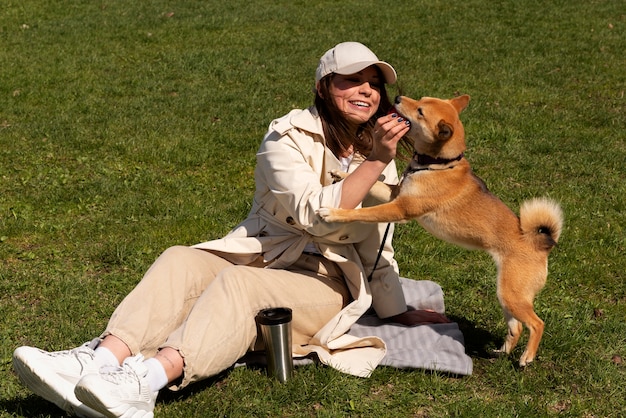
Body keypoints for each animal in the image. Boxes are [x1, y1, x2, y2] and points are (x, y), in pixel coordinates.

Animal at [320, 94, 564, 366]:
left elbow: (363, 213)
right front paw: (340, 174)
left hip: (513, 294)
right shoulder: (395, 195)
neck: (438, 165)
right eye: (421, 99)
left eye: (420, 111)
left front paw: (334, 213)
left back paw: (526, 357)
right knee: (517, 326)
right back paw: (502, 352)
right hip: (507, 294)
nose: (397, 97)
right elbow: (374, 183)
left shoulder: (400, 209)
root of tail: (541, 244)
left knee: (537, 323)